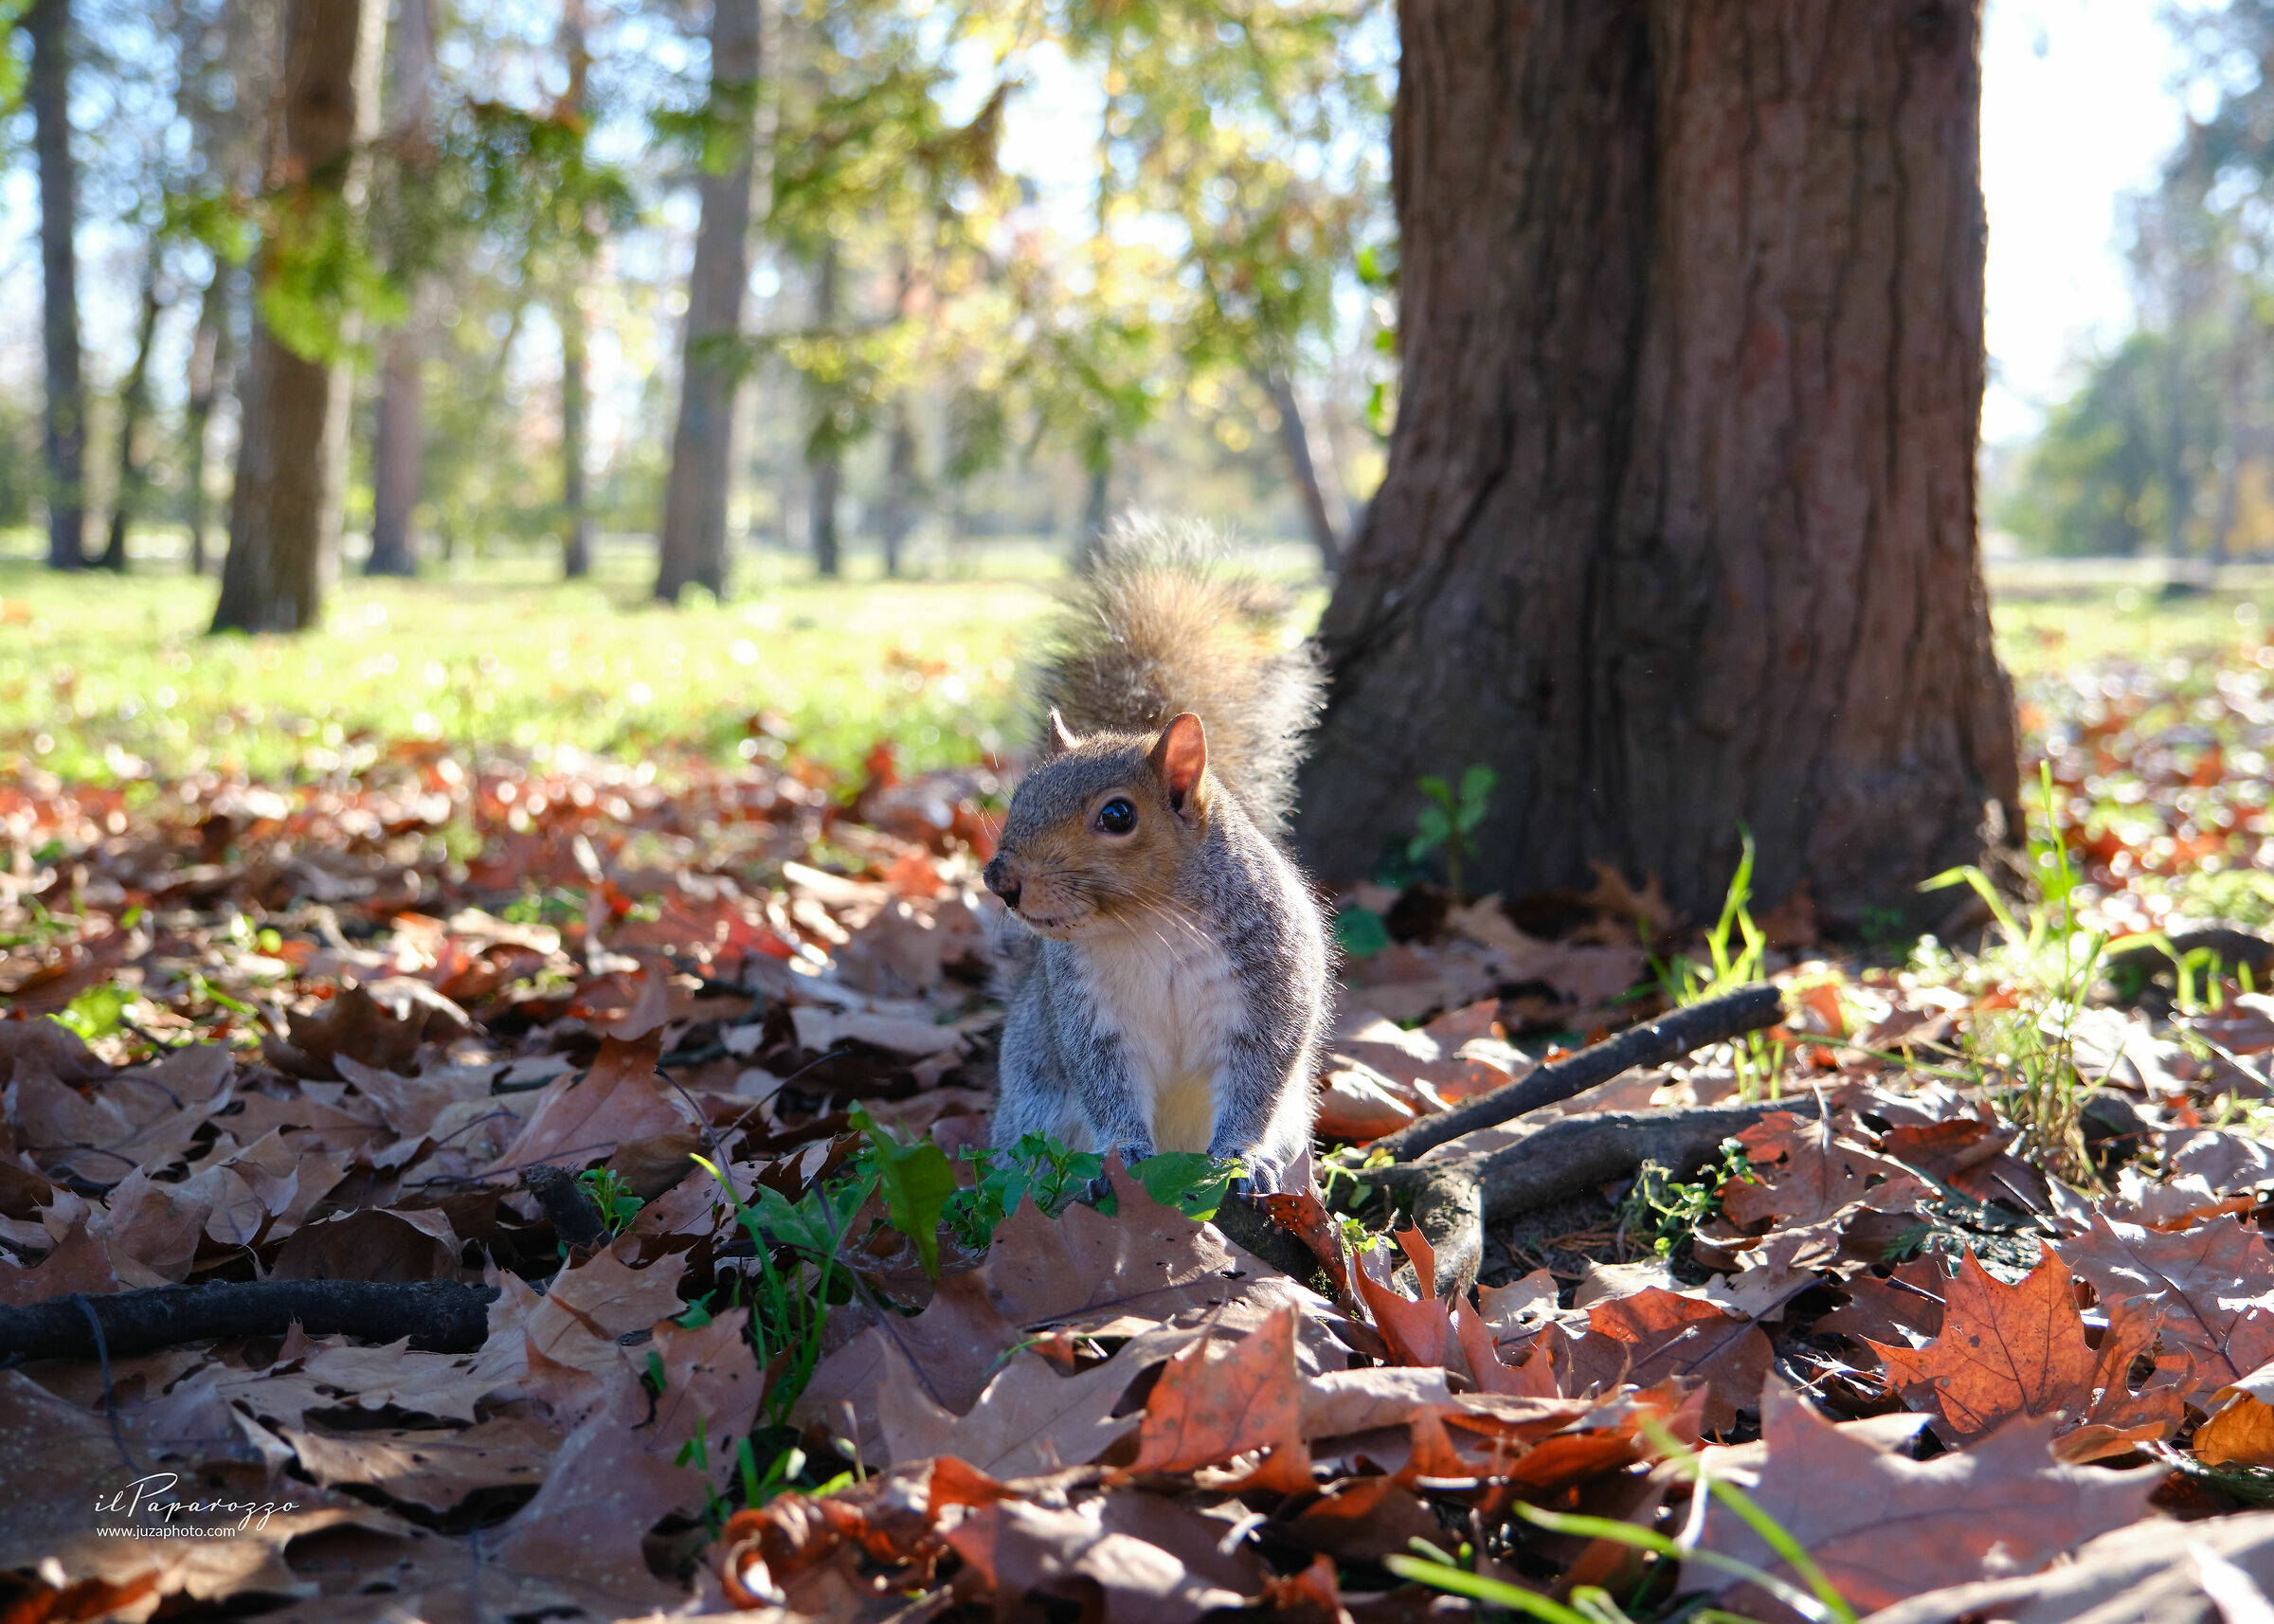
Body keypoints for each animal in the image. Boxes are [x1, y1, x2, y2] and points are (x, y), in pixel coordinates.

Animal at [982, 519, 1331, 1196]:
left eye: (1117, 816)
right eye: (1021, 793)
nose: (999, 879)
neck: (1149, 923)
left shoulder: (1269, 987)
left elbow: (1258, 1082)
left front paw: (1243, 1158)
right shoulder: (1091, 1020)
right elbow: (1107, 1089)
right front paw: (1123, 1157)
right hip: (1031, 1107)